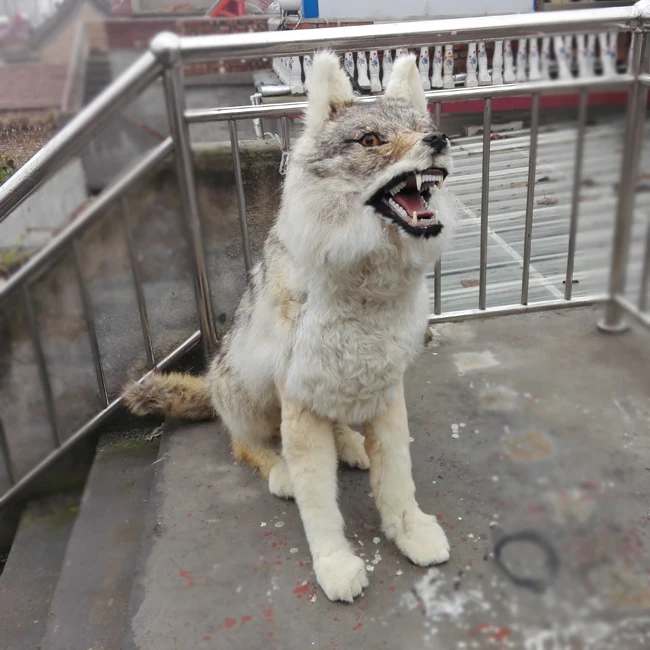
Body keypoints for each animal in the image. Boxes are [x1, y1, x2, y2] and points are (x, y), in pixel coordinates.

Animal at [124, 51, 456, 602]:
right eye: (372, 141)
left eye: (422, 128)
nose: (440, 140)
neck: (363, 288)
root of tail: (210, 380)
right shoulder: (298, 404)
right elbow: (318, 503)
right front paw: (335, 564)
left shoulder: (384, 393)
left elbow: (397, 481)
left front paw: (410, 531)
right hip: (252, 396)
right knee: (245, 445)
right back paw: (280, 471)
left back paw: (350, 445)